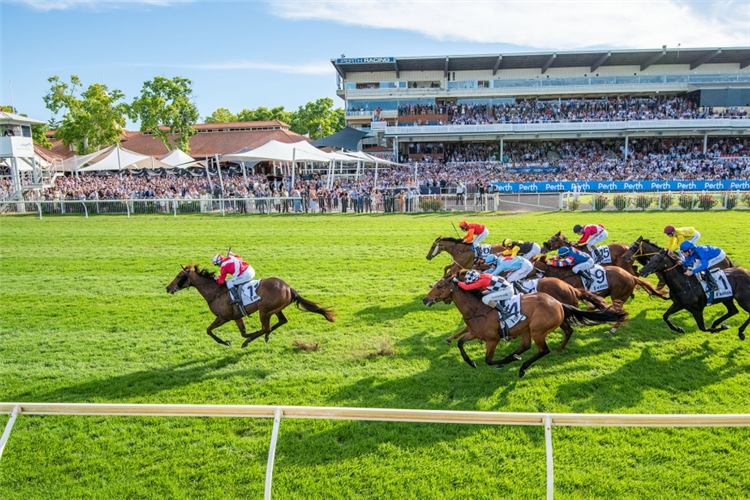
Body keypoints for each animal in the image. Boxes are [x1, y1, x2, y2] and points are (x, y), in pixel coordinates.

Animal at [170, 266, 338, 348]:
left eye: (179, 276)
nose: (168, 288)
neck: (215, 292)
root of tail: (290, 288)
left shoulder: (223, 317)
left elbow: (209, 330)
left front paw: (226, 342)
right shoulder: (237, 316)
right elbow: (243, 332)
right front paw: (242, 337)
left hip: (264, 310)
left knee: (266, 327)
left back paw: (253, 339)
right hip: (275, 309)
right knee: (281, 321)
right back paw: (264, 336)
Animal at [424, 276, 628, 376]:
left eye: (440, 286)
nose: (425, 299)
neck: (477, 308)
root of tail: (558, 303)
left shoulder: (492, 339)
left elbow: (488, 360)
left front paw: (503, 362)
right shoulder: (475, 333)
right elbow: (460, 344)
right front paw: (471, 361)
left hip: (538, 330)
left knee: (543, 350)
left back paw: (521, 366)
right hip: (526, 330)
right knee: (526, 345)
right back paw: (514, 357)